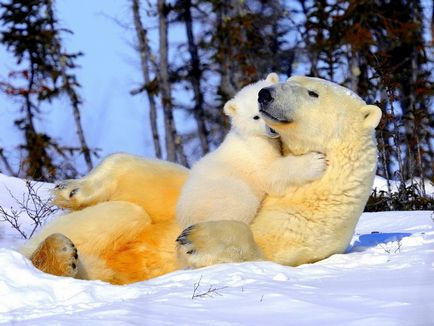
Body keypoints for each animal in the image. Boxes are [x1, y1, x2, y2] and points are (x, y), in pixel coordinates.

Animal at [20, 77, 380, 286]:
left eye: (312, 92)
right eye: (289, 78)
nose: (266, 94)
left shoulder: (311, 224)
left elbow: (263, 249)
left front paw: (196, 238)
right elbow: (155, 182)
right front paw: (71, 188)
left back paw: (61, 256)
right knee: (124, 213)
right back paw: (58, 248)